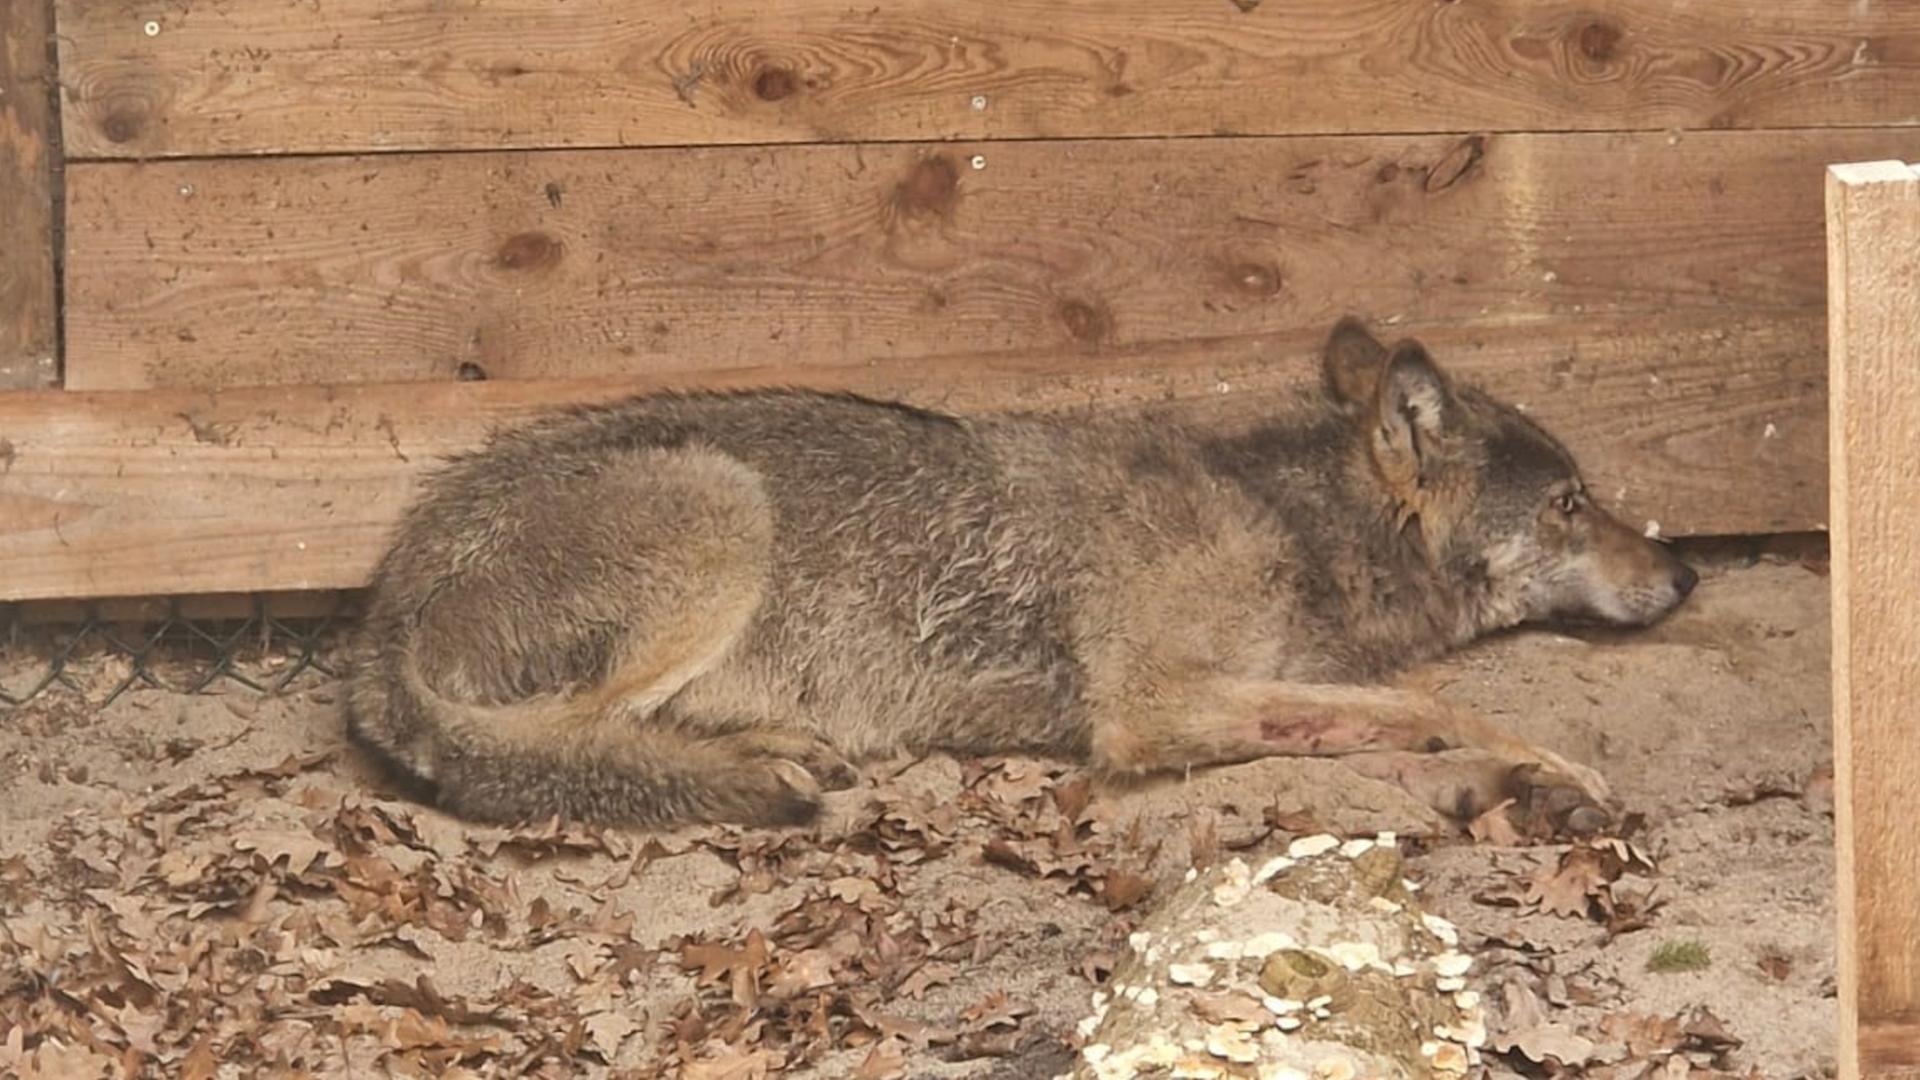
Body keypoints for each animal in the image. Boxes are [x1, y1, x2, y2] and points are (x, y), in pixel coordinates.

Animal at [344, 317, 1697, 830]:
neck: (1287, 522)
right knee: (559, 745)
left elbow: (1383, 712)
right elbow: (1435, 704)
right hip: (723, 509)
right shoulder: (1147, 709)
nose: (1686, 575)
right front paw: (1552, 770)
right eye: (1573, 504)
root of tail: (382, 607)